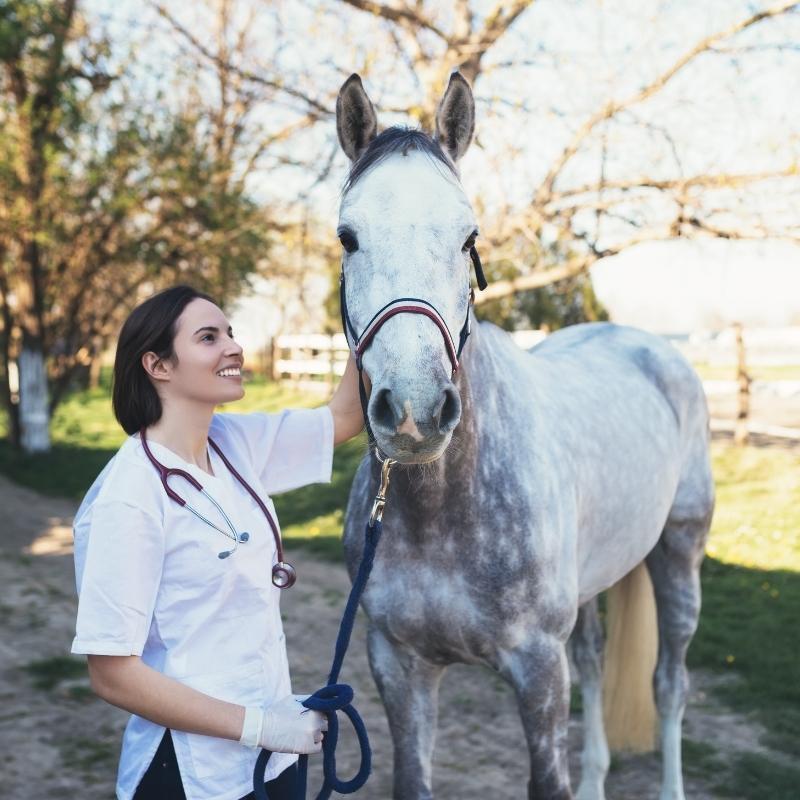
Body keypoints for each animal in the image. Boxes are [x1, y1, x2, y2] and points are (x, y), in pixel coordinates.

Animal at [334, 72, 716, 796]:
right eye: (348, 237)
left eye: (468, 237)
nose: (415, 412)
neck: (445, 508)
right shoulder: (397, 664)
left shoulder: (538, 671)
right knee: (595, 662)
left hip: (679, 555)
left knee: (672, 685)